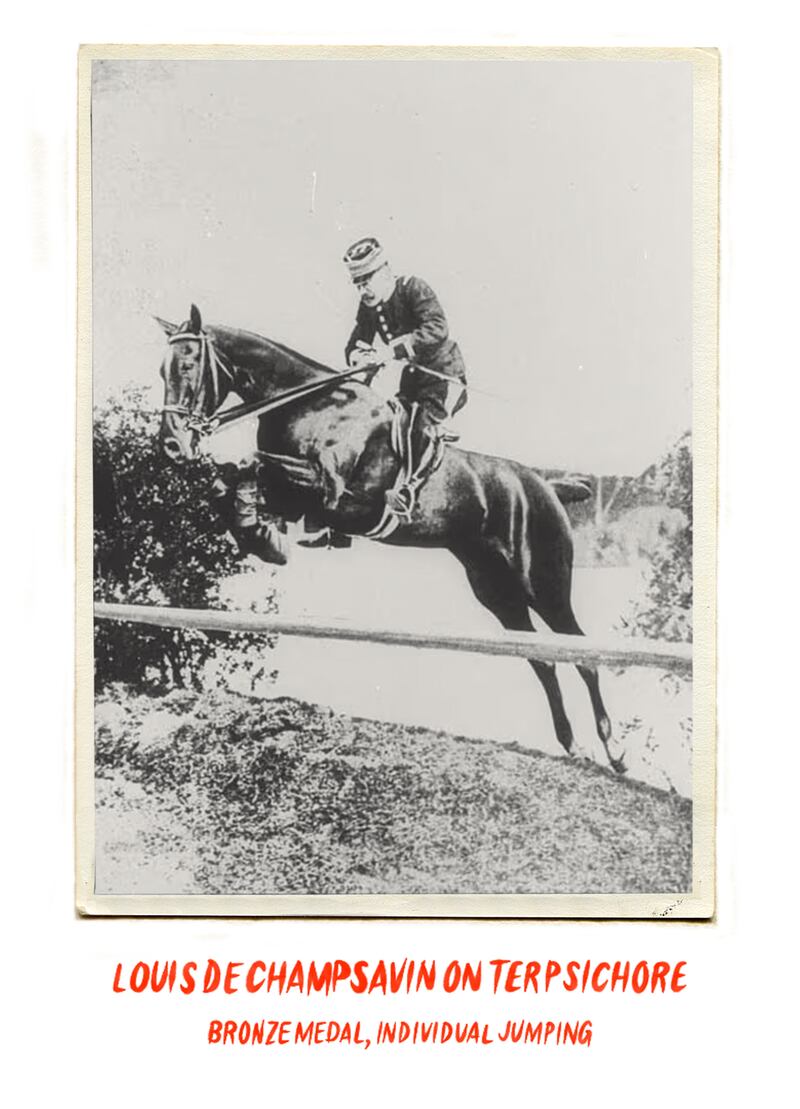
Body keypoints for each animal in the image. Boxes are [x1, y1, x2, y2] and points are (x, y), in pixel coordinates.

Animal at [157, 303, 625, 771]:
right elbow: (235, 476)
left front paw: (262, 534)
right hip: (497, 591)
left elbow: (253, 462)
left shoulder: (332, 492)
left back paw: (614, 749)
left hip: (544, 584)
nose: (172, 446)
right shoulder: (298, 498)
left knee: (581, 653)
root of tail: (548, 486)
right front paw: (258, 533)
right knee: (543, 660)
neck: (310, 403)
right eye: (162, 370)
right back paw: (573, 745)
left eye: (187, 365)